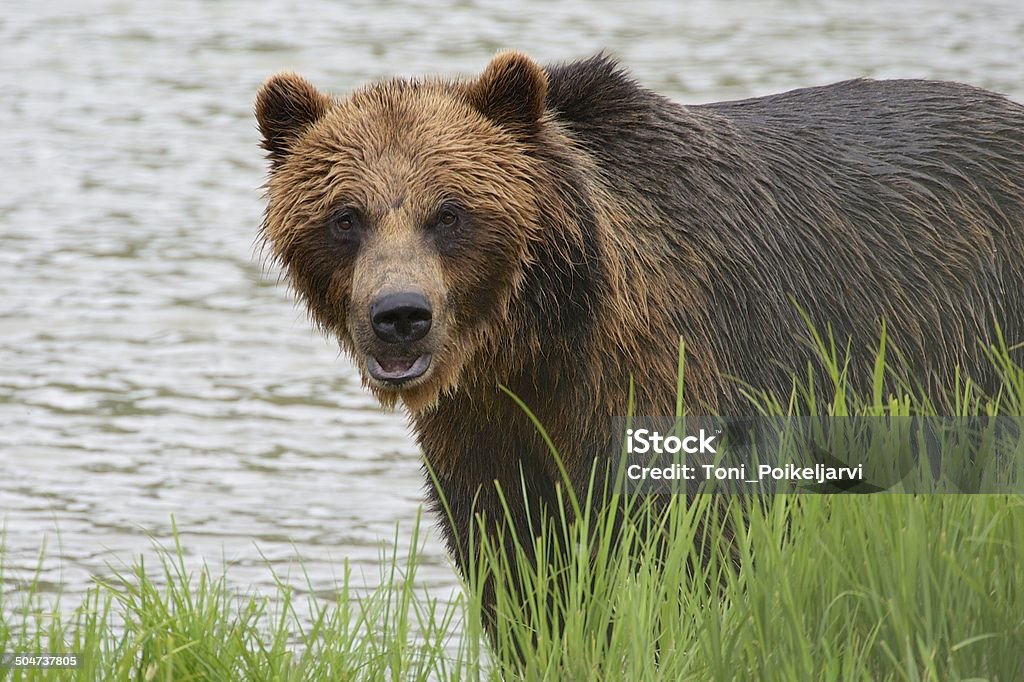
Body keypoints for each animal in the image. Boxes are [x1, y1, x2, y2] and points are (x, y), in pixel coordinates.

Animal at [256, 50, 1024, 622]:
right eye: (345, 216)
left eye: (450, 213)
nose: (400, 314)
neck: (542, 342)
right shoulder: (487, 439)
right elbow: (518, 570)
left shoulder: (678, 379)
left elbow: (695, 551)